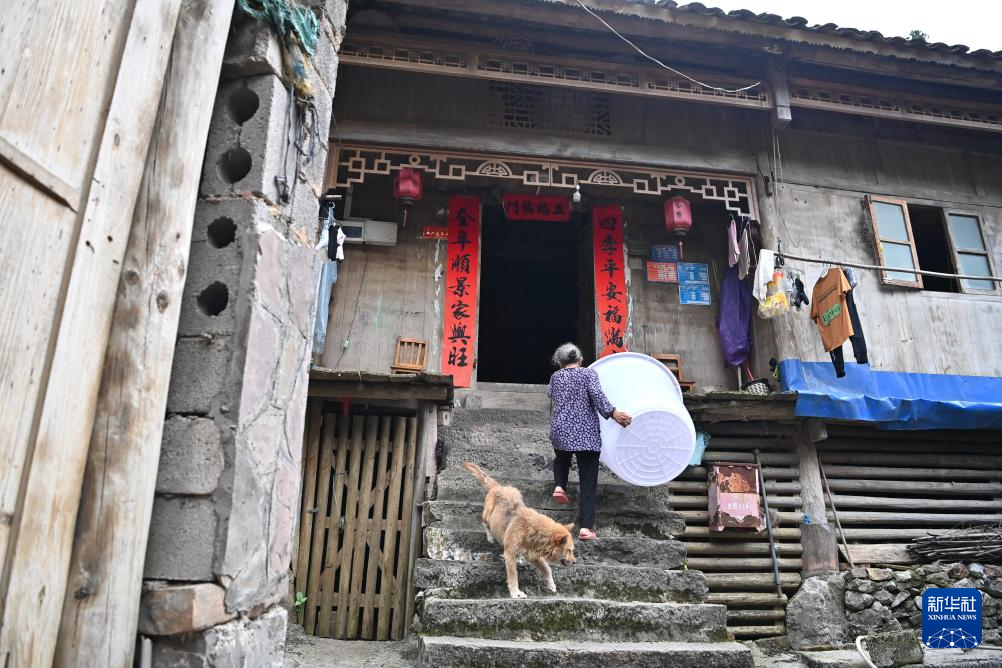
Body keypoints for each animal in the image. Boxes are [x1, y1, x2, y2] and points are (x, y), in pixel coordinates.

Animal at [464, 462, 575, 599]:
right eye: (569, 550)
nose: (575, 562)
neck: (535, 532)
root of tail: (499, 486)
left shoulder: (533, 556)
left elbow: (547, 569)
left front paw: (551, 584)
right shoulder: (510, 555)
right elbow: (513, 577)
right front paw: (515, 593)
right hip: (488, 515)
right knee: (485, 523)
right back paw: (490, 537)